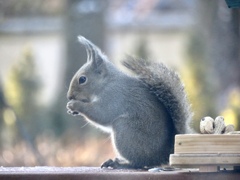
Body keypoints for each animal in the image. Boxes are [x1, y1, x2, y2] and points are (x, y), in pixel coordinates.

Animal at [66, 36, 193, 169]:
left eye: (82, 79)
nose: (69, 96)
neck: (107, 82)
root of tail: (164, 153)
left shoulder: (113, 96)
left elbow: (101, 114)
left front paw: (75, 105)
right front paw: (71, 109)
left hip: (125, 130)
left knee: (139, 163)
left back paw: (119, 163)